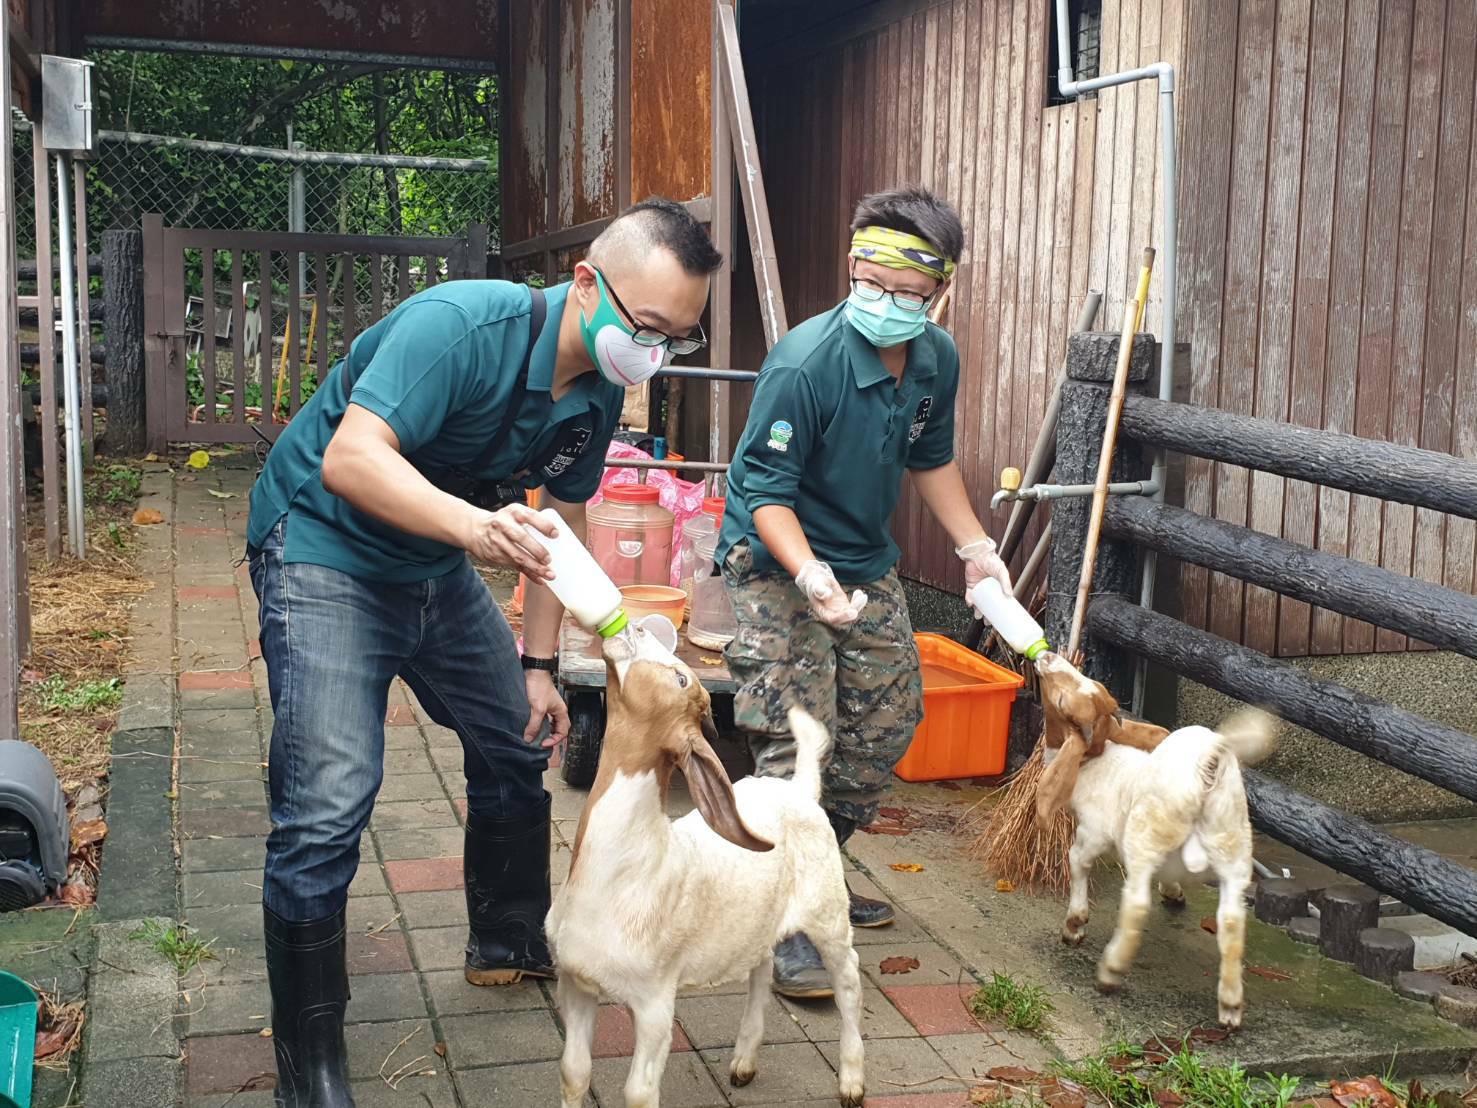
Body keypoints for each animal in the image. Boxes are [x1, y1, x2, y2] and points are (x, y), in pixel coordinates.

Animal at [546, 626, 862, 1108]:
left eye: (681, 679)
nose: (635, 626)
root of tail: (801, 791)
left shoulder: (655, 1000)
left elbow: (638, 1093)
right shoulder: (576, 982)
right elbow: (574, 1072)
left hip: (828, 912)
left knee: (847, 979)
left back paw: (851, 1083)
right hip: (758, 922)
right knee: (761, 968)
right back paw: (744, 1063)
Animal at [1033, 655, 1276, 1028]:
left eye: (1061, 702)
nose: (1047, 657)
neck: (1096, 762)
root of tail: (1208, 764)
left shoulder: (1092, 833)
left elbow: (1077, 864)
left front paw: (1074, 925)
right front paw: (1174, 892)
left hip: (1146, 834)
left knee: (1136, 904)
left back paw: (1111, 971)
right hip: (1233, 846)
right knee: (1232, 923)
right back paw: (1231, 1005)